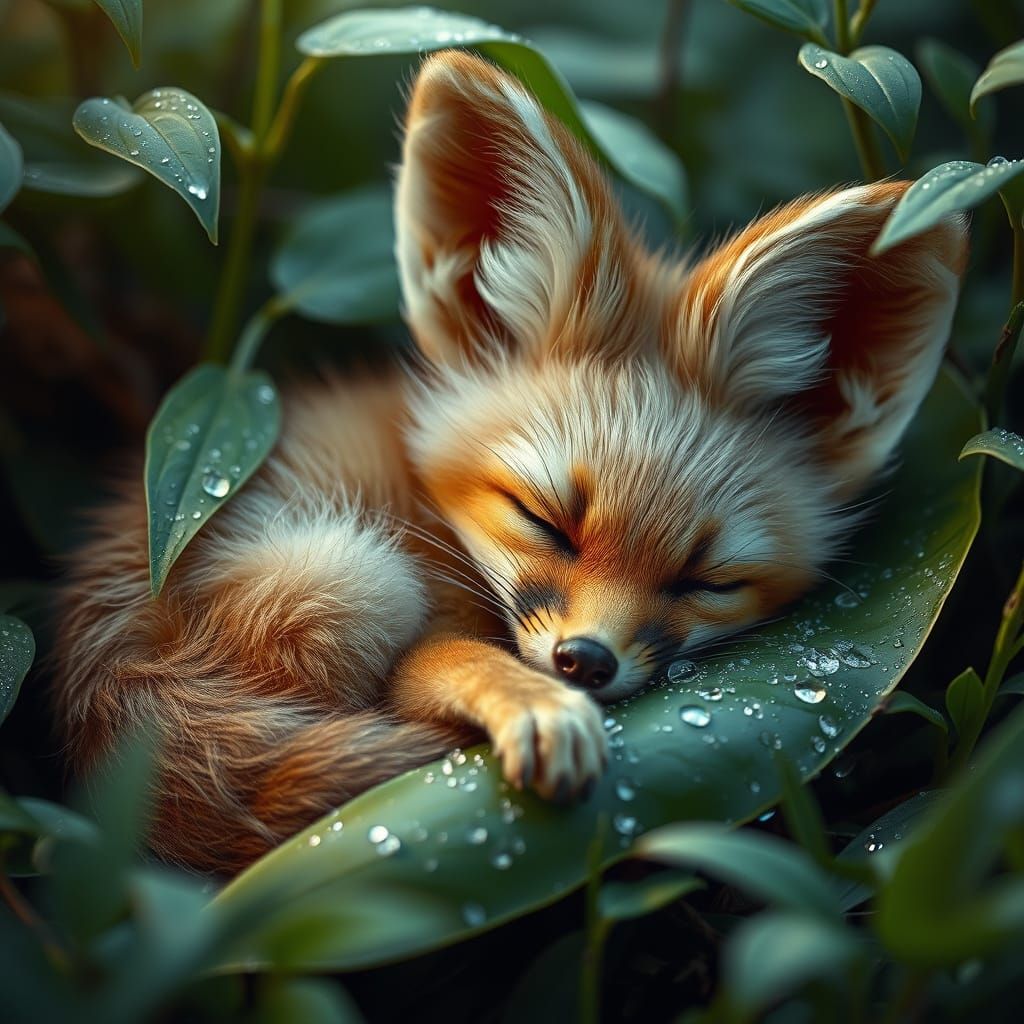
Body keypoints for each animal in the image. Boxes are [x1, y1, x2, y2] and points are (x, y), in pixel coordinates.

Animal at [53, 51, 968, 874]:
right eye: (544, 520)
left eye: (707, 579)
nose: (584, 662)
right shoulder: (423, 623)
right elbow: (452, 662)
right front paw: (534, 705)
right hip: (356, 576)